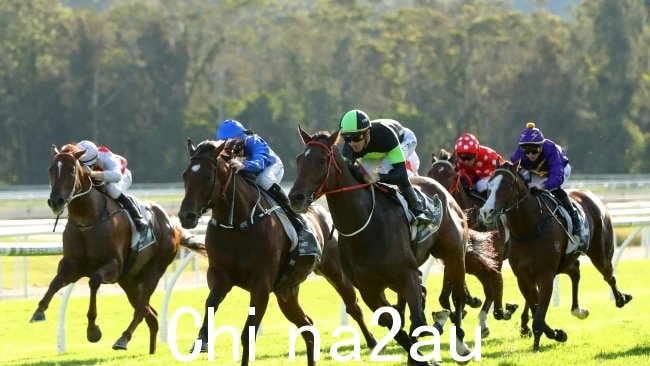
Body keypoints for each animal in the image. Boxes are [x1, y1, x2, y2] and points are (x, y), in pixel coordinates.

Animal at [30, 142, 205, 354]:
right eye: (51, 169)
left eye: (72, 170)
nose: (55, 201)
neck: (87, 220)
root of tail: (172, 224)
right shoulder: (72, 265)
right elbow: (55, 283)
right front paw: (39, 311)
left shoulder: (113, 266)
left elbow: (94, 281)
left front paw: (93, 331)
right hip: (130, 280)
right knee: (151, 315)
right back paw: (150, 350)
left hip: (155, 269)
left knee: (142, 309)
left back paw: (123, 339)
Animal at [176, 139, 374, 364]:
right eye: (185, 174)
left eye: (209, 176)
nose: (186, 216)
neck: (237, 224)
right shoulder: (220, 275)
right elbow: (210, 303)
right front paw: (201, 341)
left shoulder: (261, 282)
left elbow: (248, 333)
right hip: (285, 291)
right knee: (308, 326)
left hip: (334, 269)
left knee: (353, 305)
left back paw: (372, 341)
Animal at [288, 128, 470, 364]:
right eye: (299, 159)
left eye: (322, 160)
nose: (296, 197)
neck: (365, 226)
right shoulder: (369, 289)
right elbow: (394, 324)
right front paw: (416, 356)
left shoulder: (408, 275)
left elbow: (416, 319)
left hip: (454, 256)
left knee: (457, 297)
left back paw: (461, 344)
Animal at [426, 149, 516, 338]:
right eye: (430, 173)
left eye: (451, 174)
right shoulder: (453, 259)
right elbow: (444, 297)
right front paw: (463, 307)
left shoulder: (492, 260)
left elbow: (493, 285)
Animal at [478, 162, 632, 350]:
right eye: (489, 185)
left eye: (507, 186)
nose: (486, 212)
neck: (529, 229)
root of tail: (591, 195)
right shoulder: (523, 277)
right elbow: (536, 308)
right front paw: (555, 333)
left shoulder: (545, 276)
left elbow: (539, 314)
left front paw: (541, 340)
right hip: (565, 260)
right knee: (575, 272)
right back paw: (578, 310)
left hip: (600, 252)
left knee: (609, 275)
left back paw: (621, 298)